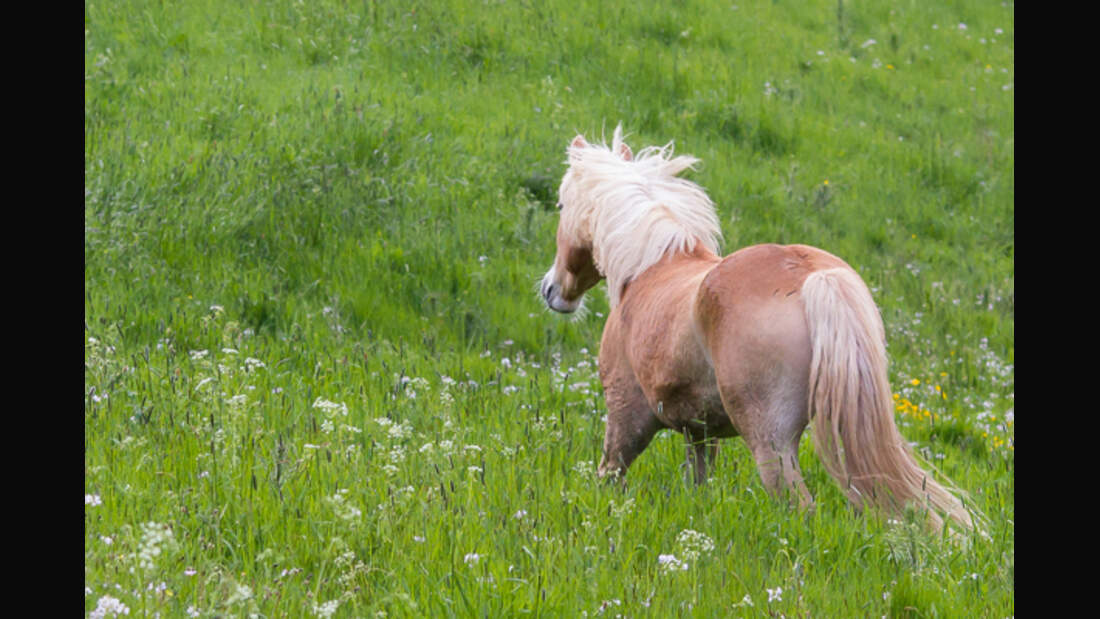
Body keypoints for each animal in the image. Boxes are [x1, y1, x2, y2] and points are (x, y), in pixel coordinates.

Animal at [536, 125, 976, 532]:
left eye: (560, 204)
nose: (551, 290)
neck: (652, 267)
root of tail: (812, 277)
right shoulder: (700, 432)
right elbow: (698, 485)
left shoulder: (627, 418)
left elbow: (609, 475)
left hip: (771, 443)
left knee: (800, 507)